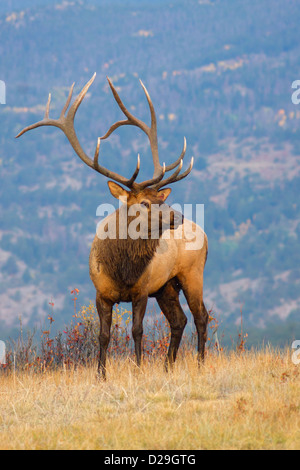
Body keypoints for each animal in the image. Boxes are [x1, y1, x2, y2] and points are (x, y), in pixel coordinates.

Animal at [17, 75, 209, 380]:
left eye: (161, 198)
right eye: (145, 202)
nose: (177, 217)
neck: (122, 271)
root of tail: (204, 233)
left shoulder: (141, 290)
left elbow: (137, 331)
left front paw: (138, 368)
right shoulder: (101, 294)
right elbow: (103, 335)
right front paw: (100, 374)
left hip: (192, 272)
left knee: (202, 316)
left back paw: (200, 364)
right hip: (166, 286)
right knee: (179, 320)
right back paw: (168, 366)